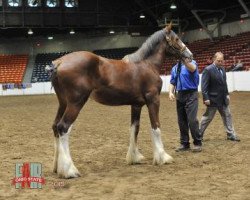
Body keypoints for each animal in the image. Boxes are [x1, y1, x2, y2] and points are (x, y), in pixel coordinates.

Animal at [48, 23, 193, 178]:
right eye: (176, 39)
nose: (189, 55)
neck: (147, 65)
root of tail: (59, 62)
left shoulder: (136, 105)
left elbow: (135, 128)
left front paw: (134, 157)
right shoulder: (153, 100)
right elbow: (156, 127)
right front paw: (163, 157)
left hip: (63, 103)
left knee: (55, 126)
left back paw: (57, 167)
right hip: (76, 103)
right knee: (63, 128)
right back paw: (69, 170)